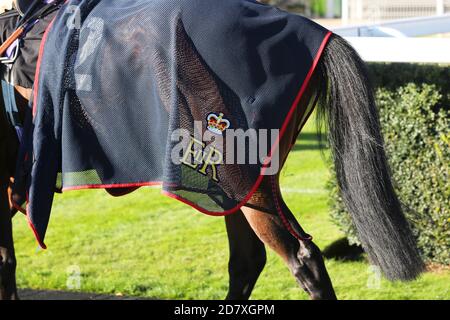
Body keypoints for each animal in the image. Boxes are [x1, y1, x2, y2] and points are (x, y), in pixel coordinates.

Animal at [1, 0, 424, 300]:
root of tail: (314, 32)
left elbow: (6, 261)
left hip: (243, 179)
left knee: (302, 259)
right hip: (237, 187)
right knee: (248, 261)